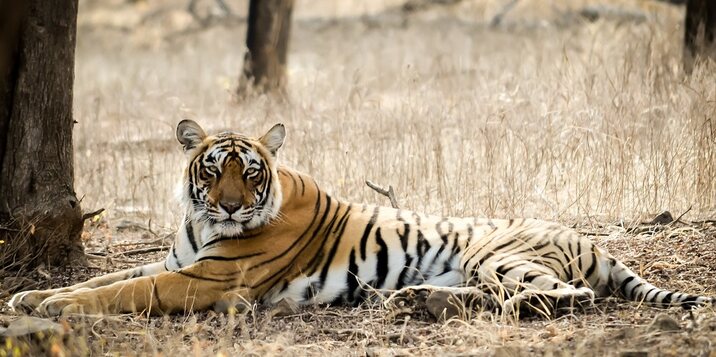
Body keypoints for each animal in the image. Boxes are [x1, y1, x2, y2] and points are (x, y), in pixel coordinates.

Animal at [8, 119, 712, 318]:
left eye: (251, 172)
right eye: (213, 170)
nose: (232, 205)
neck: (202, 226)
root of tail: (590, 240)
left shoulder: (207, 278)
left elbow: (126, 291)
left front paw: (56, 307)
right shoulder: (179, 260)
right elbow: (105, 279)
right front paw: (31, 297)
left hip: (495, 254)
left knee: (563, 297)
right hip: (476, 267)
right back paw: (416, 301)